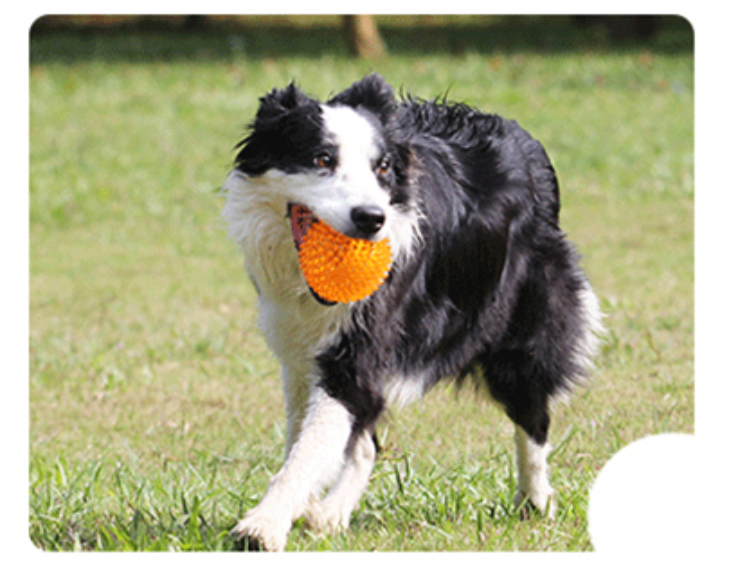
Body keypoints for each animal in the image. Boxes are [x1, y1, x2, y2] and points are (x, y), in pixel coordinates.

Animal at [220, 74, 600, 552]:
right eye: (322, 159)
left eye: (381, 169)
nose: (371, 218)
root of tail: (526, 143)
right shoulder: (299, 350)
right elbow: (311, 438)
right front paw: (298, 510)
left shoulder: (362, 346)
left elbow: (313, 445)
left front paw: (263, 525)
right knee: (365, 443)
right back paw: (331, 514)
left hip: (521, 325)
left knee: (532, 413)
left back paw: (535, 501)